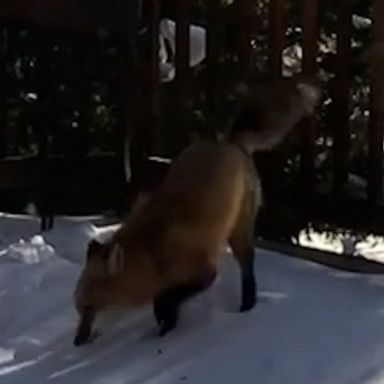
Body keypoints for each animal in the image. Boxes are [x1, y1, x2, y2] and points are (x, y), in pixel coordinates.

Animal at [72, 74, 320, 344]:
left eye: (90, 308)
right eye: (79, 309)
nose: (77, 341)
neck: (153, 253)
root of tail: (230, 141)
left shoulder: (204, 272)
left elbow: (167, 300)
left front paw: (164, 328)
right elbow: (164, 302)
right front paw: (165, 325)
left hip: (238, 233)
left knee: (248, 270)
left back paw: (247, 307)